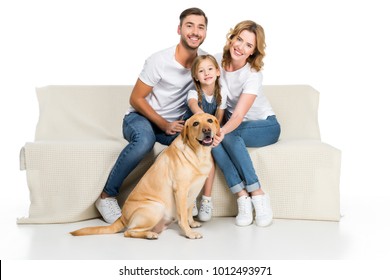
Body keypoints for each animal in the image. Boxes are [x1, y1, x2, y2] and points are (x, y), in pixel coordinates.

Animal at [71, 112, 219, 240]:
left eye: (210, 120)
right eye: (195, 123)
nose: (207, 130)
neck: (197, 153)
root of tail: (122, 217)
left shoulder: (193, 190)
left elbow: (188, 211)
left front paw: (192, 223)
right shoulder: (181, 189)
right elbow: (182, 215)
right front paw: (189, 232)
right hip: (156, 207)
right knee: (129, 232)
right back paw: (149, 234)